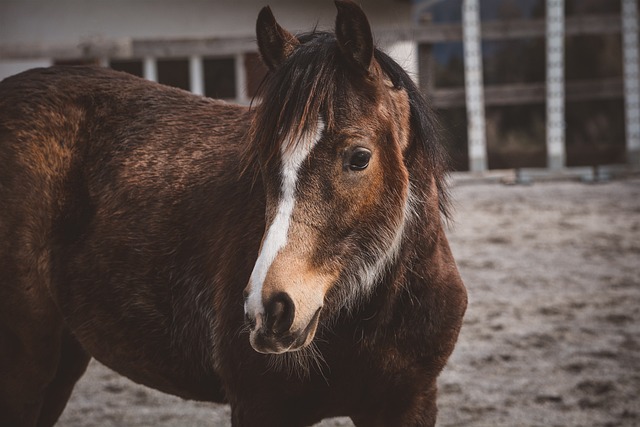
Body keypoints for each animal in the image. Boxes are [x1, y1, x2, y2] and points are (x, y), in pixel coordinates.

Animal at [1, 1, 464, 426]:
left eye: (359, 157)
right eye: (262, 159)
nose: (271, 310)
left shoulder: (408, 404)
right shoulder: (261, 407)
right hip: (25, 369)